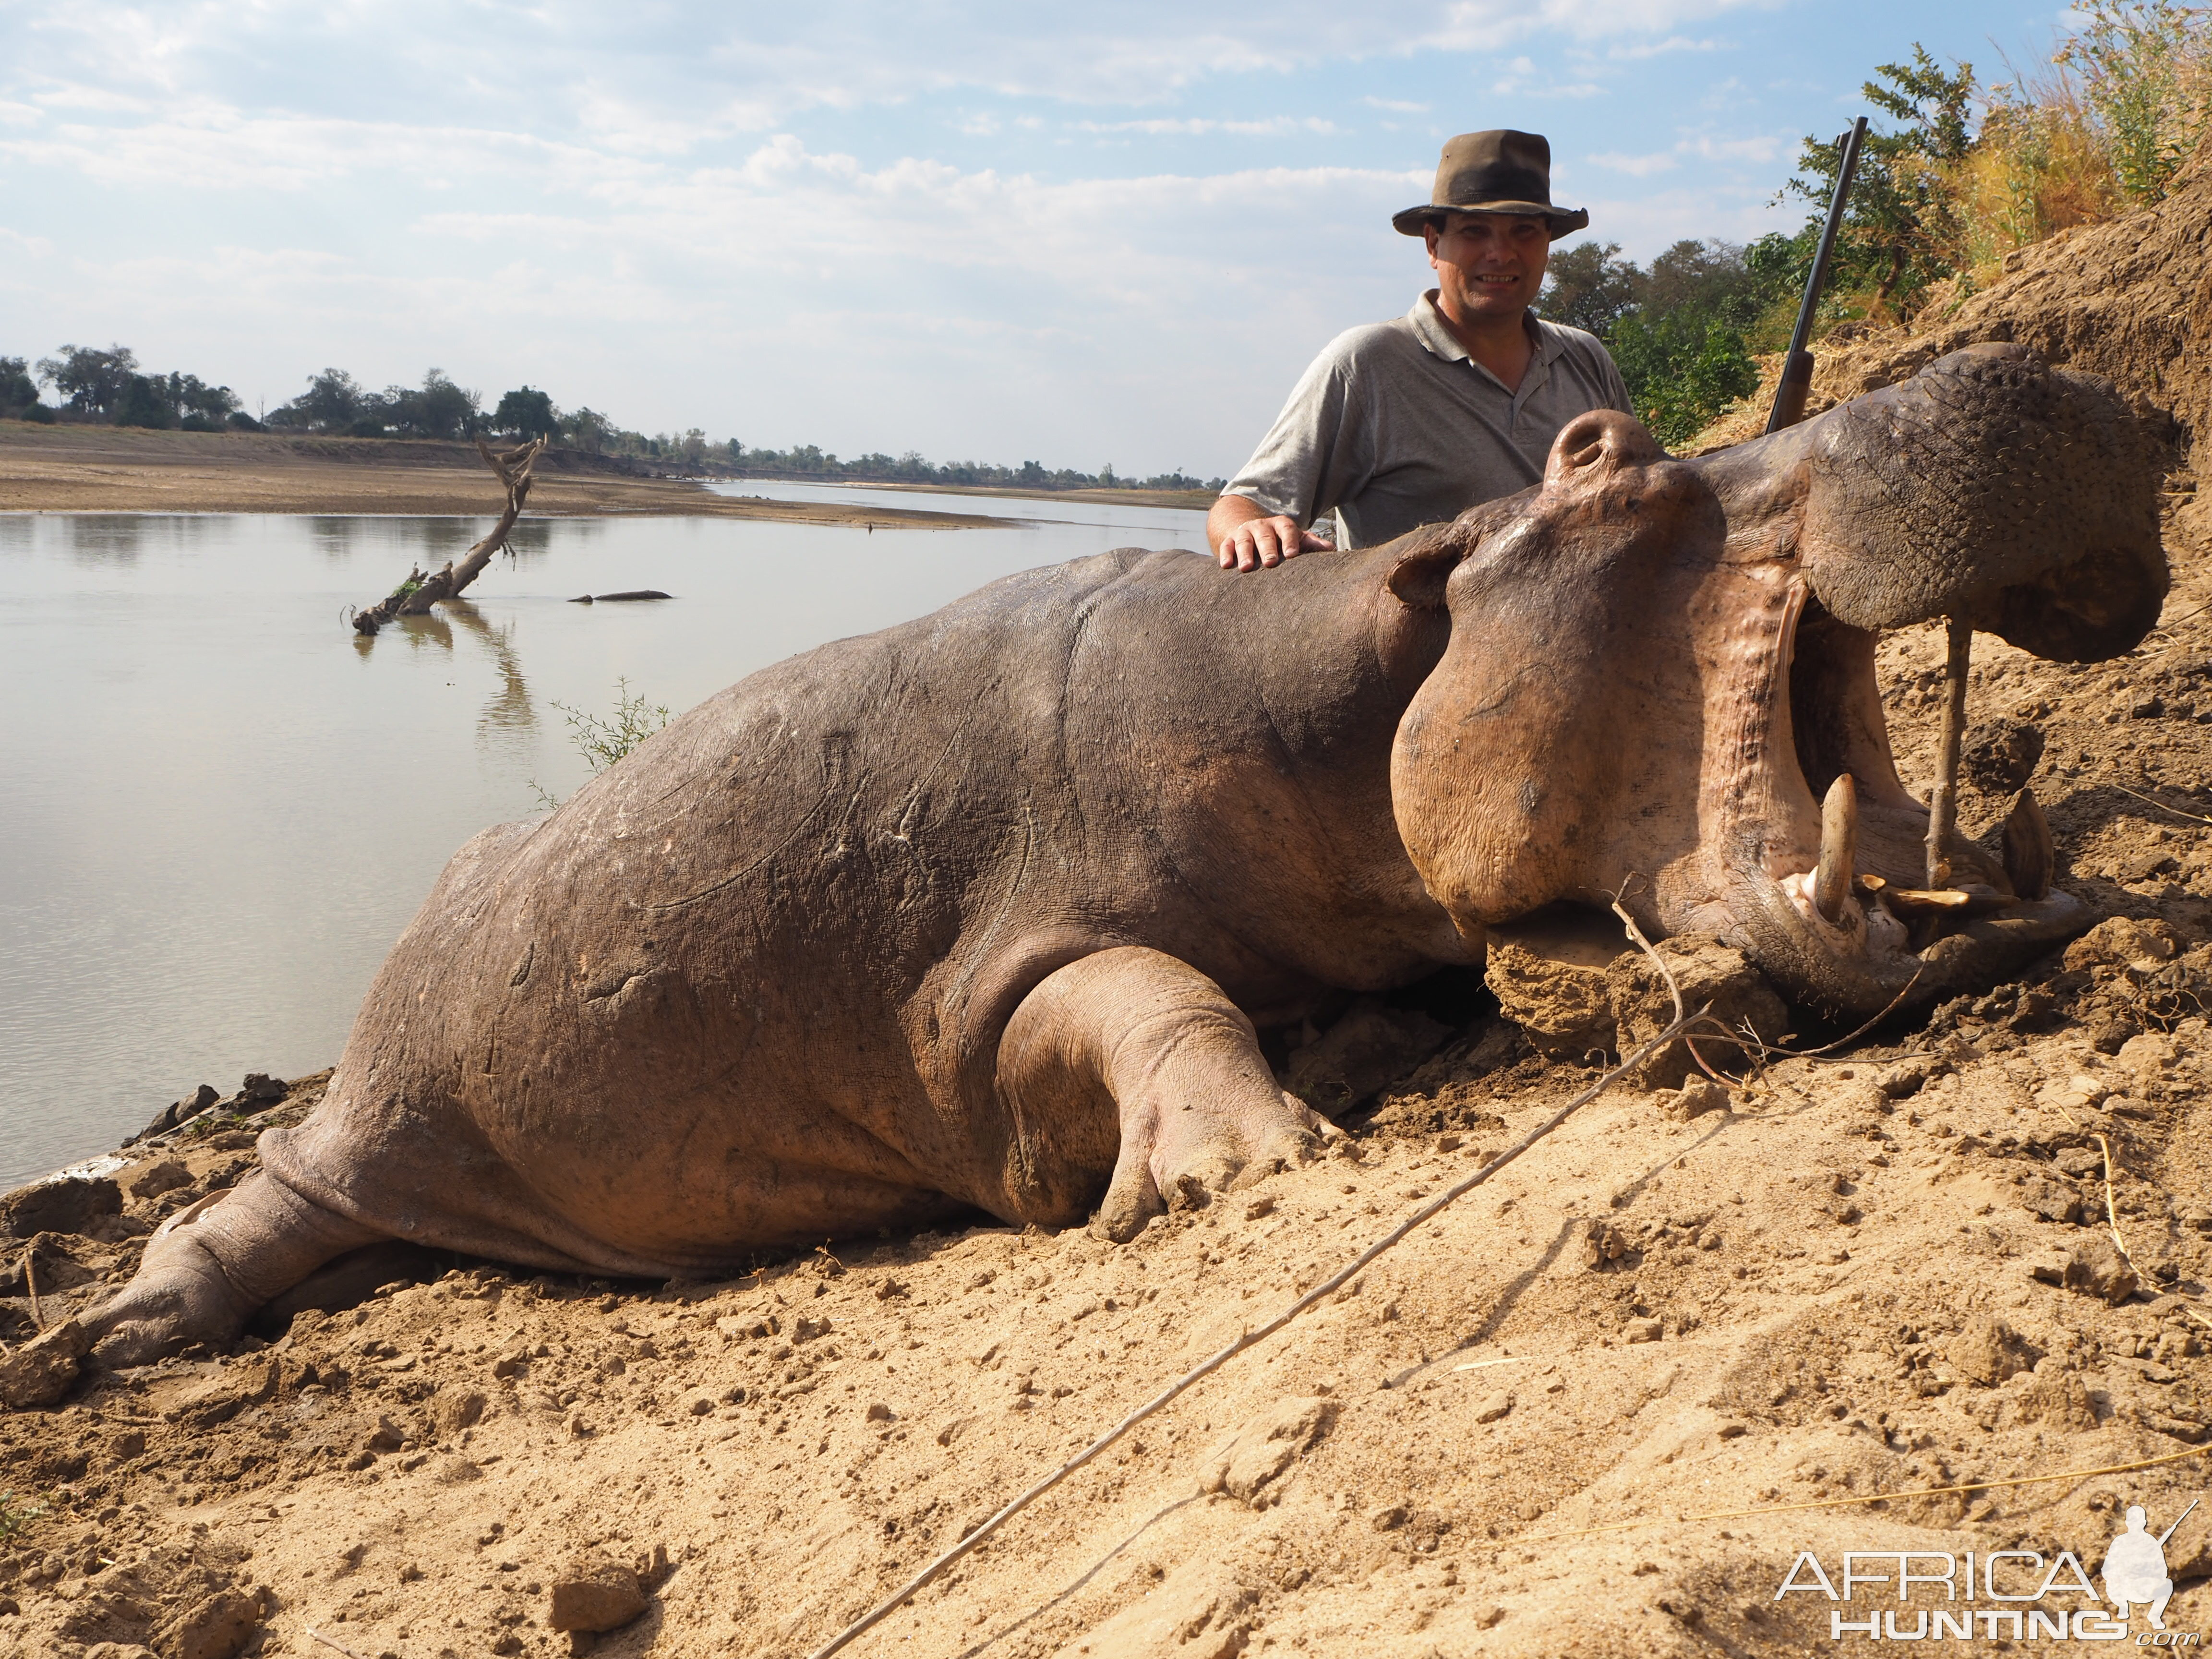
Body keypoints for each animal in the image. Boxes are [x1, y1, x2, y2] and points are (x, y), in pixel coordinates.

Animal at [86, 347, 2159, 1362]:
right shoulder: (969, 1010)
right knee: (262, 1192)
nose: (2011, 370)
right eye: (1599, 452)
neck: (1342, 681)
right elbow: (1134, 992)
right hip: (369, 1107)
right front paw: (1240, 1166)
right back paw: (115, 1341)